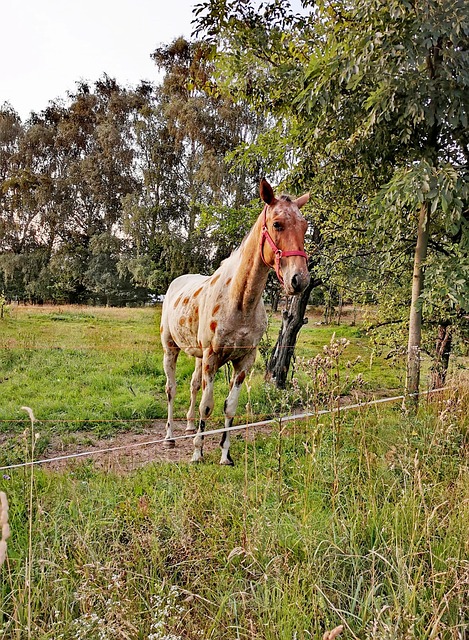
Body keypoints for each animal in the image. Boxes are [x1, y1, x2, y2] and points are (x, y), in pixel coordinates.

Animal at [160, 178, 310, 464]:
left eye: (305, 226)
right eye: (277, 224)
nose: (300, 280)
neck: (238, 301)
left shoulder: (244, 360)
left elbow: (230, 407)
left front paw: (225, 454)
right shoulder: (212, 357)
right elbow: (208, 406)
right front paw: (197, 453)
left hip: (197, 355)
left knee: (193, 385)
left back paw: (188, 426)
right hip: (170, 348)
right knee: (171, 389)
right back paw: (170, 437)